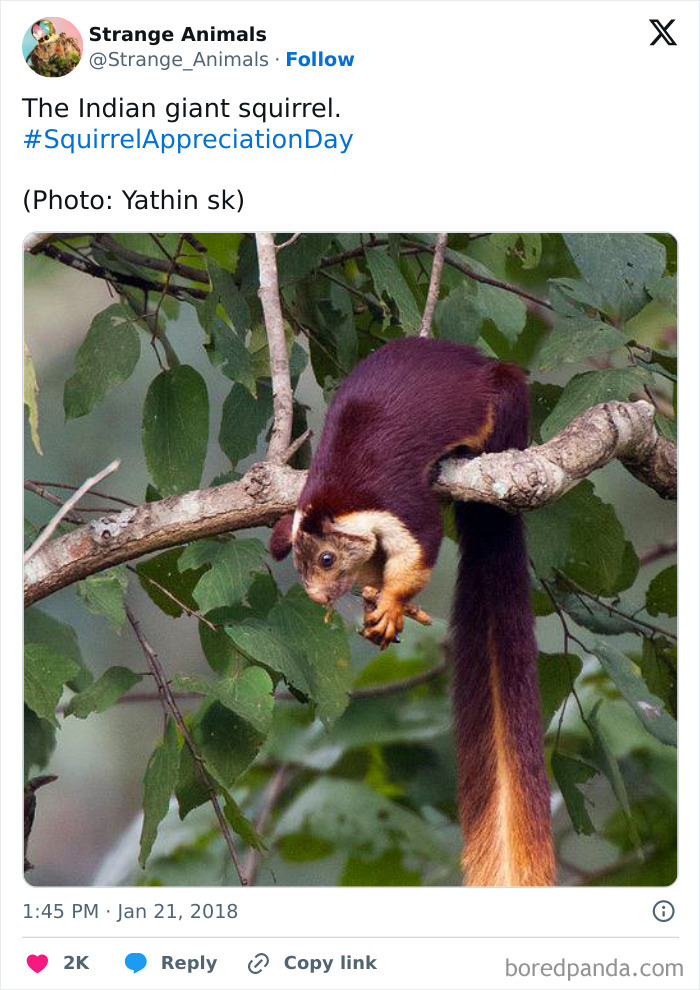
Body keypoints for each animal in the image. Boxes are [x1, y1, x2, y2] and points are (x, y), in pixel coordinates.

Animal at [270, 337, 555, 887]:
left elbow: (421, 544)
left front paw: (391, 605)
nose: (317, 598)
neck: (335, 494)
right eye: (299, 566)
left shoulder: (400, 504)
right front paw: (373, 599)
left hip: (506, 399)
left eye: (327, 559)